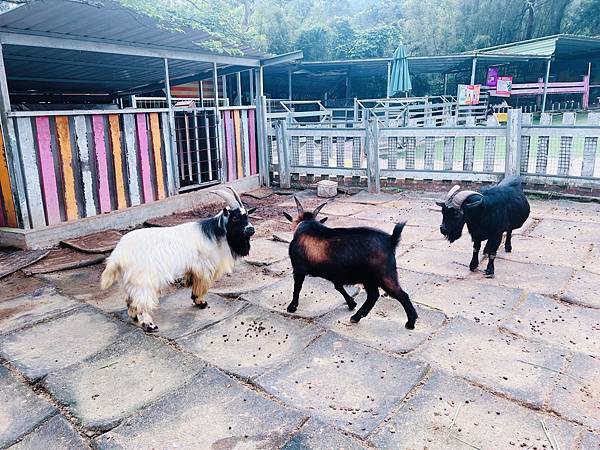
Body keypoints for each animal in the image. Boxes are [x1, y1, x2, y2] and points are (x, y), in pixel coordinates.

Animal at [101, 186, 255, 330]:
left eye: (247, 215)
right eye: (235, 217)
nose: (251, 229)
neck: (214, 232)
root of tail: (118, 255)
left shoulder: (194, 268)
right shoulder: (204, 267)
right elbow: (202, 284)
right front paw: (200, 302)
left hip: (128, 281)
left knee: (130, 300)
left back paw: (134, 317)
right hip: (142, 280)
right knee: (141, 302)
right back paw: (149, 325)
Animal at [282, 199, 418, 328]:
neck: (306, 225)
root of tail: (391, 240)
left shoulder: (298, 269)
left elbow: (297, 287)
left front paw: (292, 307)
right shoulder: (335, 274)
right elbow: (339, 287)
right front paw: (351, 303)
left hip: (384, 275)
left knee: (401, 294)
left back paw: (410, 323)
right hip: (369, 279)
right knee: (373, 296)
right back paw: (356, 317)